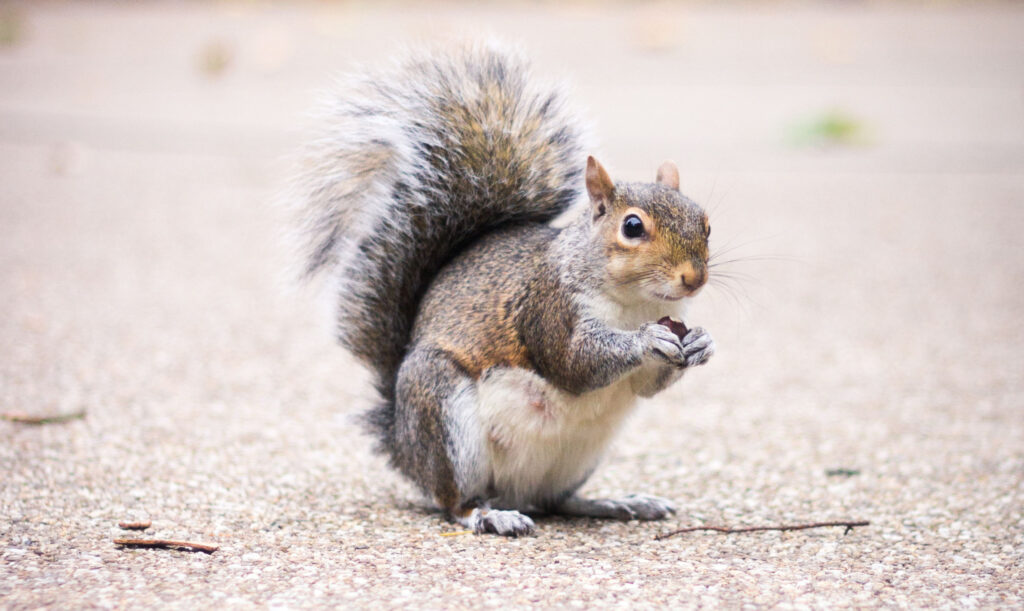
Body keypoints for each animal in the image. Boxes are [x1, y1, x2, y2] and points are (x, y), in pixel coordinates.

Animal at [292, 42, 716, 536]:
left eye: (706, 223)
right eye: (632, 227)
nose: (694, 278)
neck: (634, 304)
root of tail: (403, 445)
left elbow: (648, 385)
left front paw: (702, 342)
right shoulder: (547, 306)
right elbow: (574, 362)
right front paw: (645, 340)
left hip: (580, 455)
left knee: (556, 500)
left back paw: (613, 502)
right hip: (445, 417)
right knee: (454, 502)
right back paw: (489, 514)